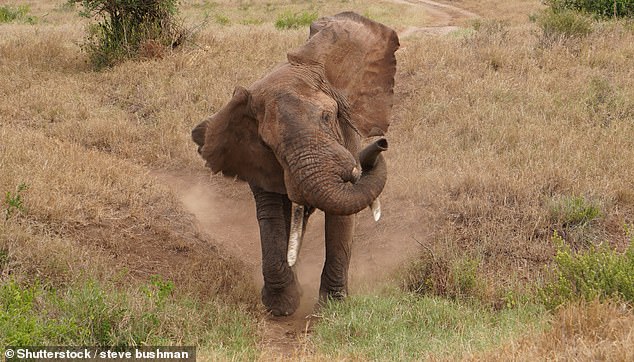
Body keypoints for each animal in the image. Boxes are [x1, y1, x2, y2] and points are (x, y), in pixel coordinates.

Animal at [190, 12, 398, 316]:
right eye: (268, 143)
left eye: (328, 117)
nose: (381, 144)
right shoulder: (256, 160)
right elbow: (272, 214)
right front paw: (282, 305)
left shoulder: (346, 133)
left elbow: (341, 216)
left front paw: (332, 308)